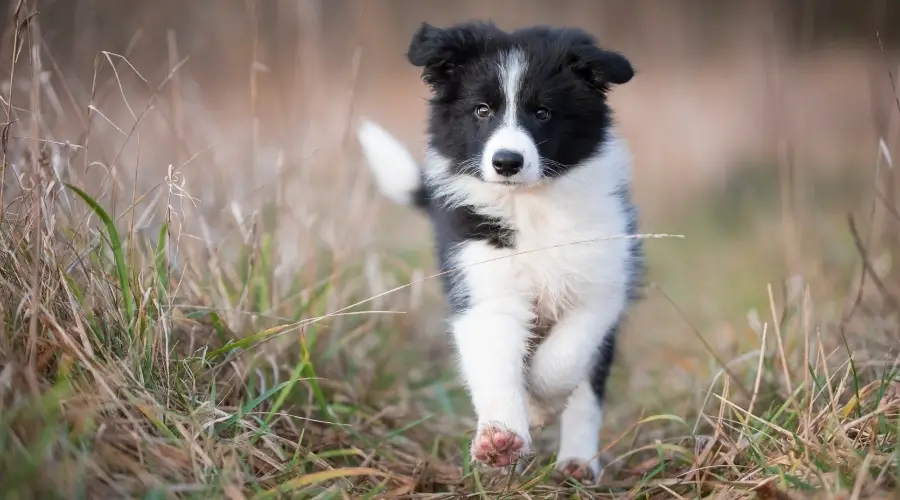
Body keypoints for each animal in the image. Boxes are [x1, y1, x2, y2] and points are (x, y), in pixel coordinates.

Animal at [356, 21, 644, 482]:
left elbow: (563, 359)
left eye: (542, 113)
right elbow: (495, 360)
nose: (507, 162)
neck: (529, 205)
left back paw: (578, 463)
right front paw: (501, 438)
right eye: (481, 111)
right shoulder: (484, 286)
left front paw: (538, 406)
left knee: (586, 392)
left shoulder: (601, 286)